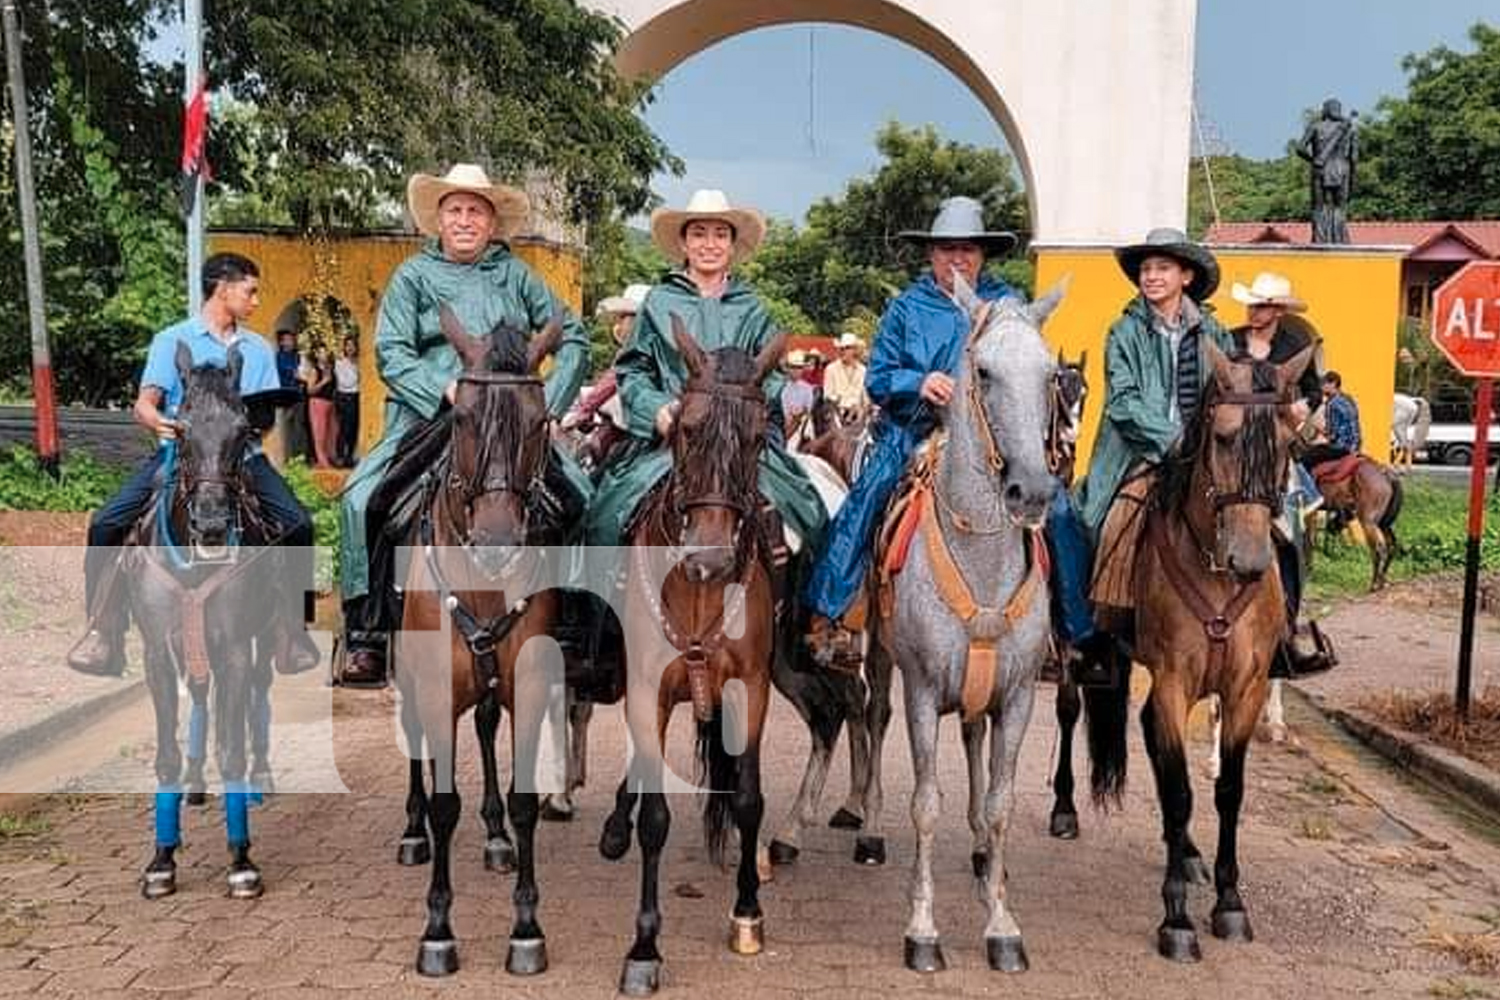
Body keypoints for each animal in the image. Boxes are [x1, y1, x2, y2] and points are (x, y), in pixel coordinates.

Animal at [393, 308, 573, 983]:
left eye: (539, 421)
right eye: (464, 417)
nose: (498, 542)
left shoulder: (529, 683)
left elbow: (524, 800)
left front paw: (526, 927)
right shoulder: (436, 687)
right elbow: (444, 802)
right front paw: (438, 930)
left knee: (487, 728)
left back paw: (494, 837)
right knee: (416, 746)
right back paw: (412, 832)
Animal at [597, 316, 786, 995]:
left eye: (758, 437)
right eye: (686, 428)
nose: (709, 559)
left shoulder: (749, 688)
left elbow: (749, 799)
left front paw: (749, 914)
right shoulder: (647, 688)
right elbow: (655, 818)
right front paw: (644, 946)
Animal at [882, 280, 1062, 971]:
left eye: (1052, 375)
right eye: (982, 372)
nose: (1031, 491)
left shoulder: (1017, 696)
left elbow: (1001, 803)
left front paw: (1001, 922)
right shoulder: (922, 690)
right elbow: (925, 805)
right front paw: (922, 928)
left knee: (975, 747)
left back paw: (986, 860)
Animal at [1086, 341, 1320, 959]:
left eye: (1288, 443)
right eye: (1222, 437)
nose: (1249, 559)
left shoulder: (1245, 689)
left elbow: (1227, 791)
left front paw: (1229, 902)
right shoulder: (1173, 680)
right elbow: (1179, 792)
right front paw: (1176, 919)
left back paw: (1187, 852)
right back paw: (1067, 813)